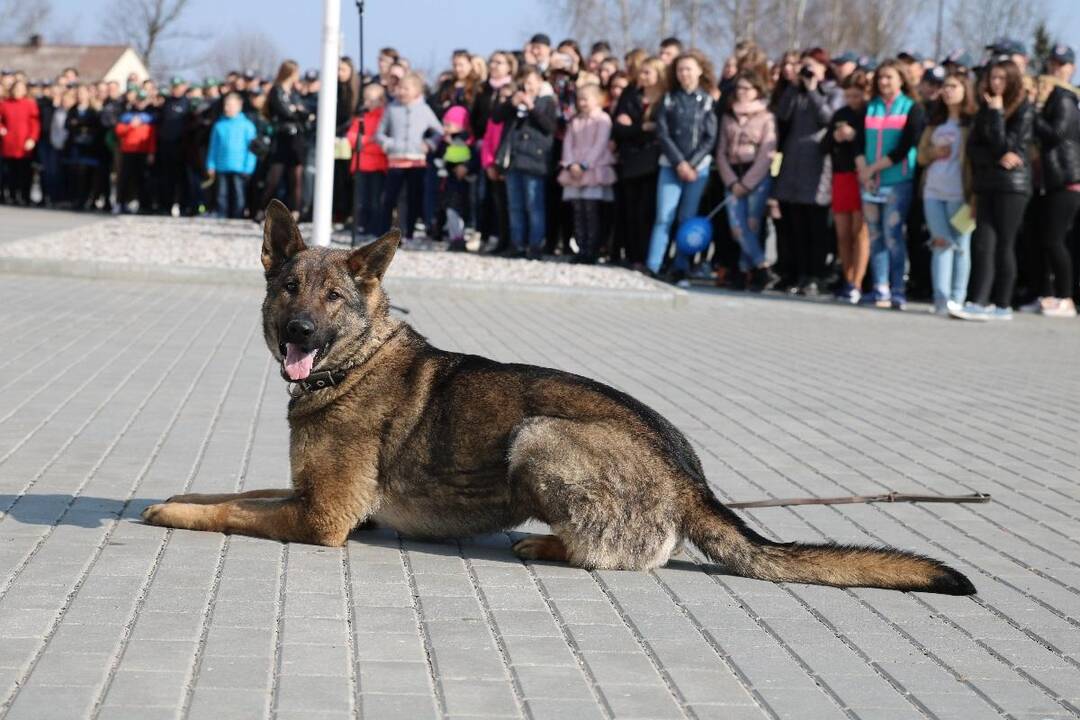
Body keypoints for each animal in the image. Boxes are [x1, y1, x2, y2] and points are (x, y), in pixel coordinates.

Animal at [139, 199, 976, 595]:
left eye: (334, 297)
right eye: (289, 288)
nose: (300, 331)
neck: (354, 358)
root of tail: (690, 476)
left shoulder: (320, 519)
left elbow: (229, 511)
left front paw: (172, 513)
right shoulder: (309, 495)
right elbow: (230, 490)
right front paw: (165, 496)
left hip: (539, 433)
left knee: (634, 554)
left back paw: (545, 543)